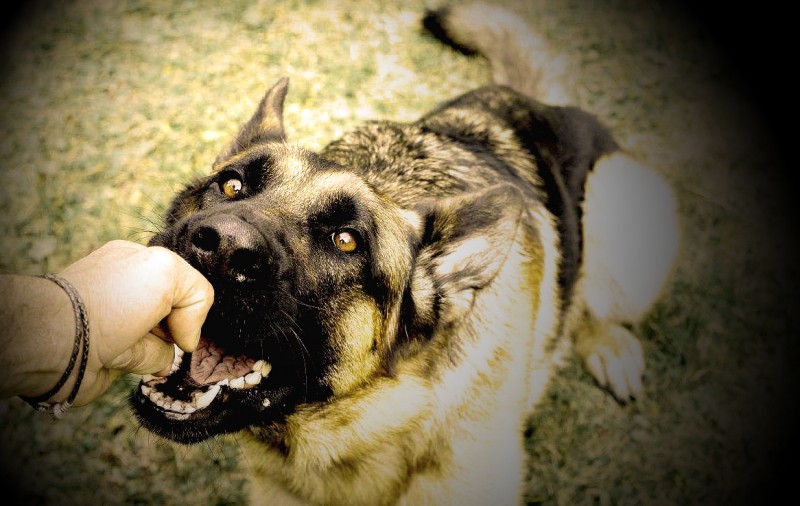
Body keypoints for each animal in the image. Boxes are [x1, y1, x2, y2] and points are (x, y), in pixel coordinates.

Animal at [130, 2, 676, 502]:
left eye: (346, 240)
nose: (219, 246)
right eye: (232, 185)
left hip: (613, 203)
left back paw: (610, 346)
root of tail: (530, 99)